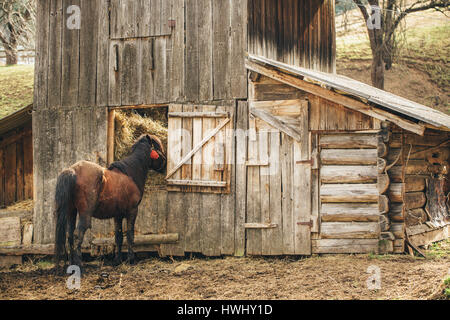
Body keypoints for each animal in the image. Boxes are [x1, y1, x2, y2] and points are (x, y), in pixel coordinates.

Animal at [54, 134, 167, 268]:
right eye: (159, 148)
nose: (165, 166)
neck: (130, 172)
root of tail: (73, 170)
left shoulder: (117, 215)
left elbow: (118, 236)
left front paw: (117, 260)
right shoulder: (132, 211)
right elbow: (130, 235)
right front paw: (131, 259)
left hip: (71, 212)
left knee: (70, 236)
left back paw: (71, 264)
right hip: (84, 215)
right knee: (78, 236)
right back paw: (79, 264)